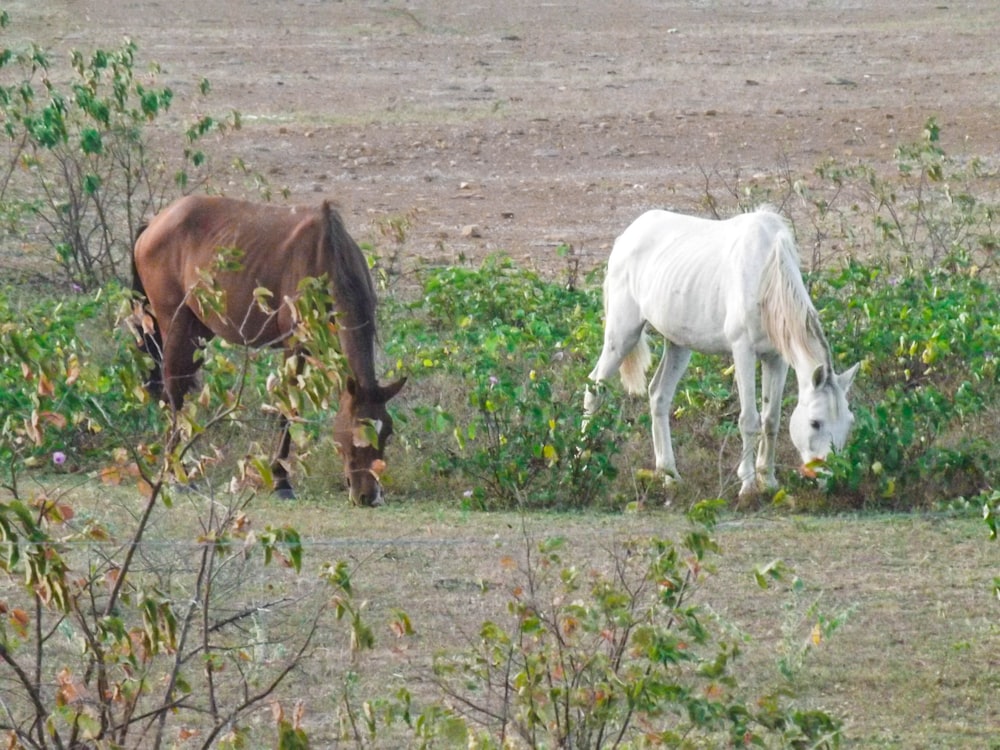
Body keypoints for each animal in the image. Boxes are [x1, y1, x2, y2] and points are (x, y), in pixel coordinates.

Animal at [132, 197, 406, 508]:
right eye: (355, 432)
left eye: (387, 433)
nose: (368, 496)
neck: (327, 258)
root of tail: (153, 224)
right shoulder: (295, 345)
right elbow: (288, 408)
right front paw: (281, 481)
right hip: (175, 325)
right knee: (174, 391)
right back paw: (178, 475)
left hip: (197, 330)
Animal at [584, 209, 860, 496]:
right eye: (815, 422)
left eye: (849, 422)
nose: (828, 478)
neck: (766, 276)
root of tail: (627, 235)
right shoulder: (743, 350)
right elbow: (749, 419)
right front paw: (748, 485)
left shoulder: (777, 359)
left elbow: (771, 419)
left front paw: (768, 481)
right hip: (622, 335)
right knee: (594, 389)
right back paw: (583, 460)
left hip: (679, 345)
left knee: (658, 396)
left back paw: (669, 474)